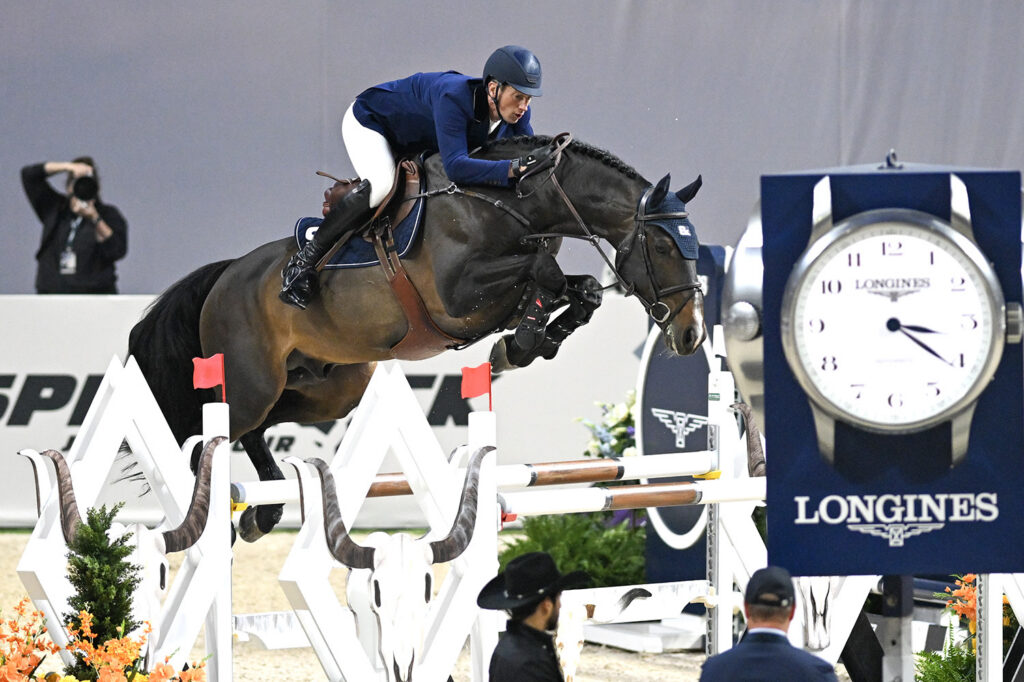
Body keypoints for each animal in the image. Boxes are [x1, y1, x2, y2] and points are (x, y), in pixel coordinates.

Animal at [128, 133, 707, 542]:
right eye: (662, 246)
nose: (691, 335)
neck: (514, 203)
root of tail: (226, 275)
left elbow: (581, 289)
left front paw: (527, 343)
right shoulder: (457, 299)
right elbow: (541, 272)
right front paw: (519, 343)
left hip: (328, 388)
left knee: (258, 427)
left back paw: (262, 513)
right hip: (251, 380)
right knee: (205, 435)